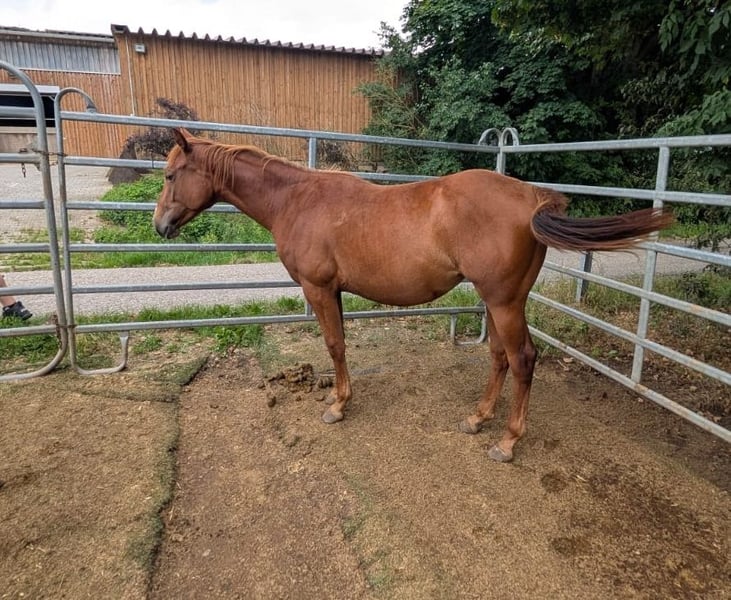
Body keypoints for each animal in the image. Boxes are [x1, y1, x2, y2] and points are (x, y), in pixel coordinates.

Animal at [154, 128, 673, 462]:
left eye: (170, 176)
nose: (160, 226)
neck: (298, 201)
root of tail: (532, 198)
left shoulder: (318, 289)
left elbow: (334, 345)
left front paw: (337, 407)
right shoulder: (332, 291)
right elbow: (341, 346)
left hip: (504, 302)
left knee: (522, 359)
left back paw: (506, 442)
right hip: (500, 301)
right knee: (500, 357)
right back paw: (477, 418)